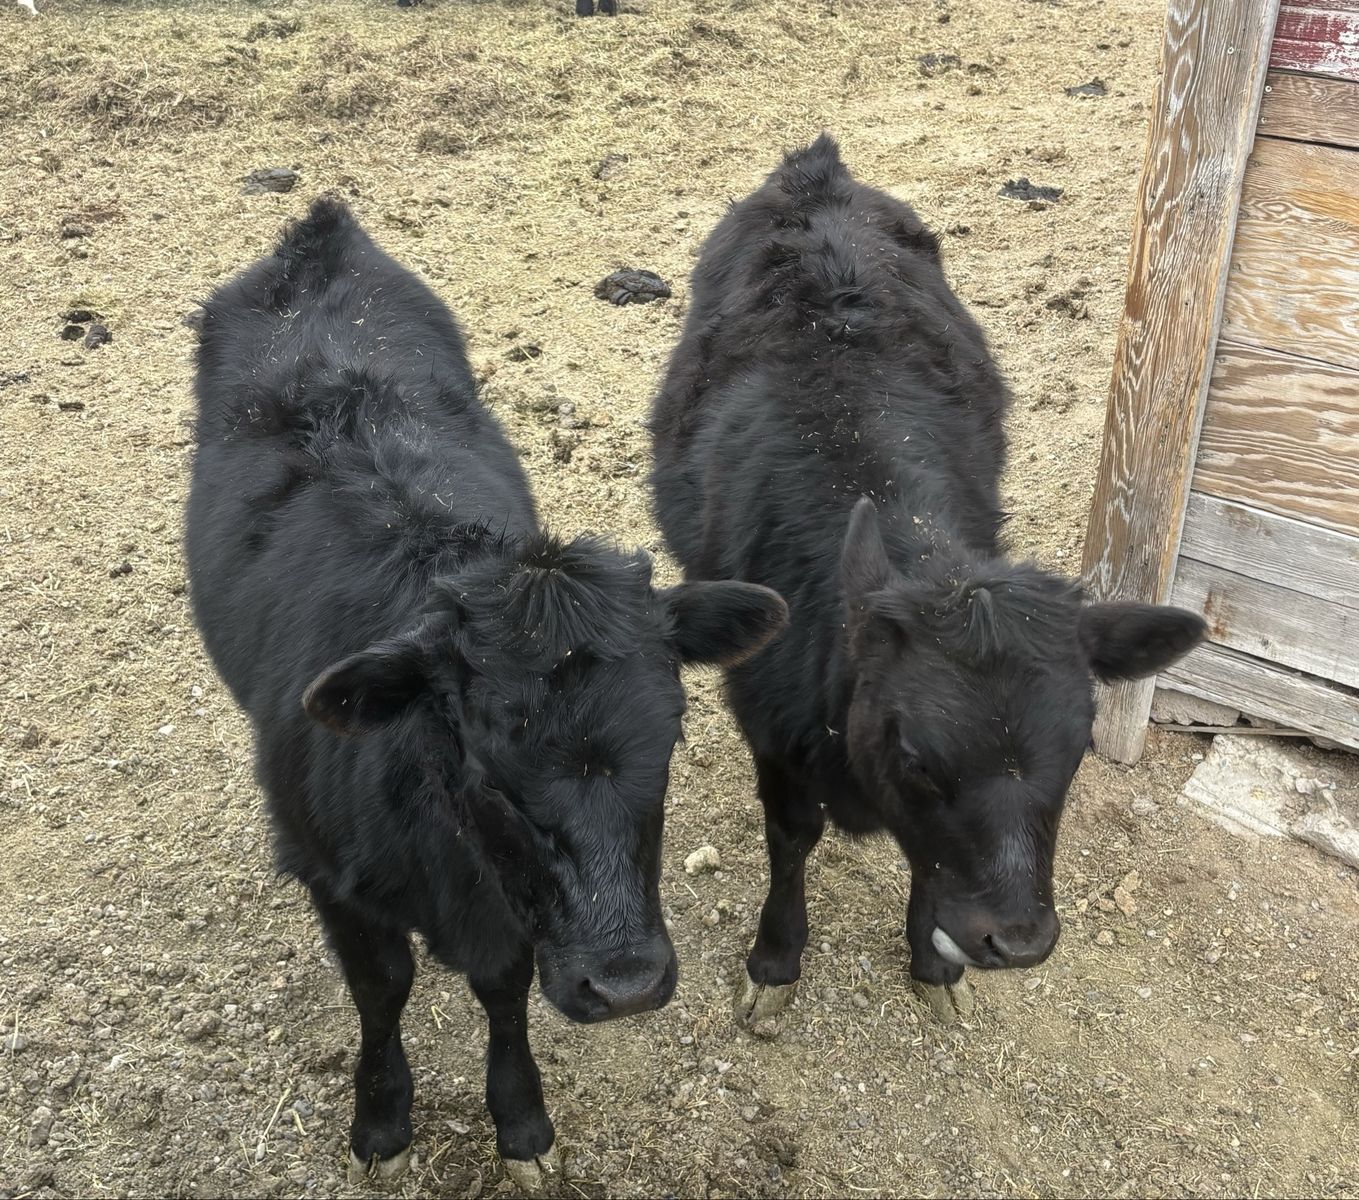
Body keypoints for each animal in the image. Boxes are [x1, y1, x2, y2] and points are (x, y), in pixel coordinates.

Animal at [185, 197, 787, 1191]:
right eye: (487, 767)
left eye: (671, 738)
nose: (624, 983)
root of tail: (317, 235)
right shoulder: (329, 875)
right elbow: (380, 991)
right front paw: (382, 1119)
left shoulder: (512, 917)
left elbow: (502, 991)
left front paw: (521, 1122)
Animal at [649, 134, 1206, 1027]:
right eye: (914, 757)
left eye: (1077, 746)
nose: (1015, 941)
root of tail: (815, 170)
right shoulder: (770, 722)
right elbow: (791, 837)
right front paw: (774, 963)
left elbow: (924, 860)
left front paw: (930, 962)